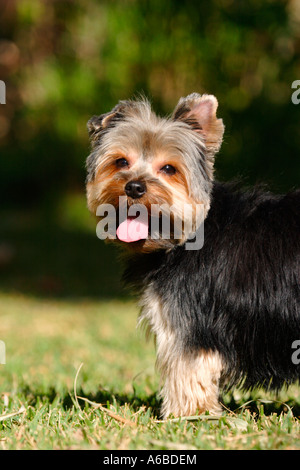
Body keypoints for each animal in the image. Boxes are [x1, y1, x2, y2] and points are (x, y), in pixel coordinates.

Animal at [85, 93, 300, 416]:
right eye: (121, 161)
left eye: (169, 169)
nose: (133, 186)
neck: (181, 240)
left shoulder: (190, 325)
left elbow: (187, 372)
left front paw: (185, 417)